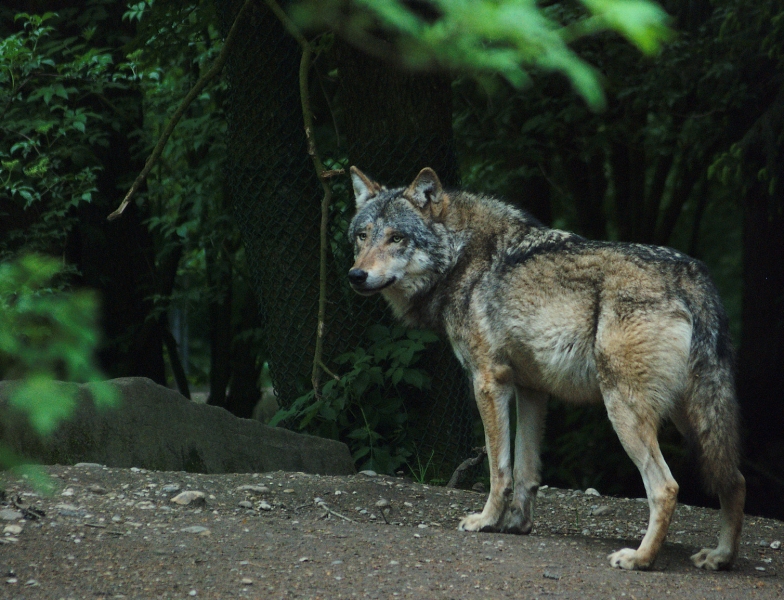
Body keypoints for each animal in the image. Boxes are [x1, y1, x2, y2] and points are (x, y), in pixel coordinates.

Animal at [346, 166, 745, 571]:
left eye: (397, 238)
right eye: (362, 236)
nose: (356, 276)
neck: (460, 257)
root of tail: (692, 274)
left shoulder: (488, 381)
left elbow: (499, 468)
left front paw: (486, 520)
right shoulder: (532, 390)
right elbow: (525, 470)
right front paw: (517, 525)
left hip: (624, 411)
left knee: (666, 488)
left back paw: (639, 558)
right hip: (694, 421)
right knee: (735, 480)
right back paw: (720, 556)